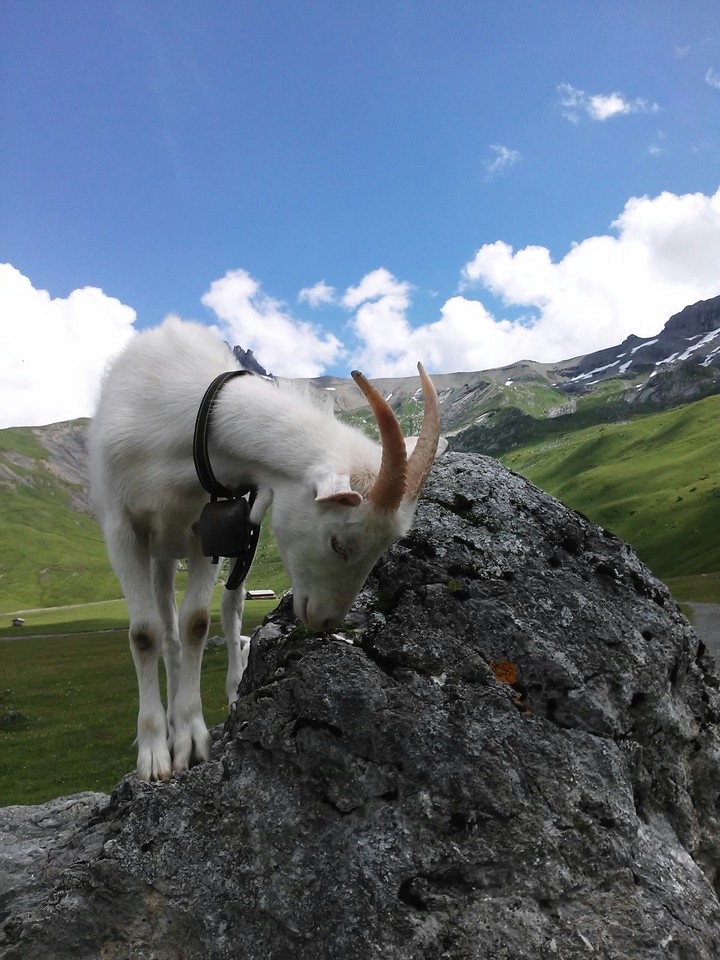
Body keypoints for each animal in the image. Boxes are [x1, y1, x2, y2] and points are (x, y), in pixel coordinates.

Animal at [89, 317, 443, 781]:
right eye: (339, 541)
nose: (326, 621)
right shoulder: (121, 527)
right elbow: (146, 634)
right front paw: (153, 752)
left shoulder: (205, 526)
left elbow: (196, 623)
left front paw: (190, 738)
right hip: (159, 551)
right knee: (165, 631)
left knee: (225, 609)